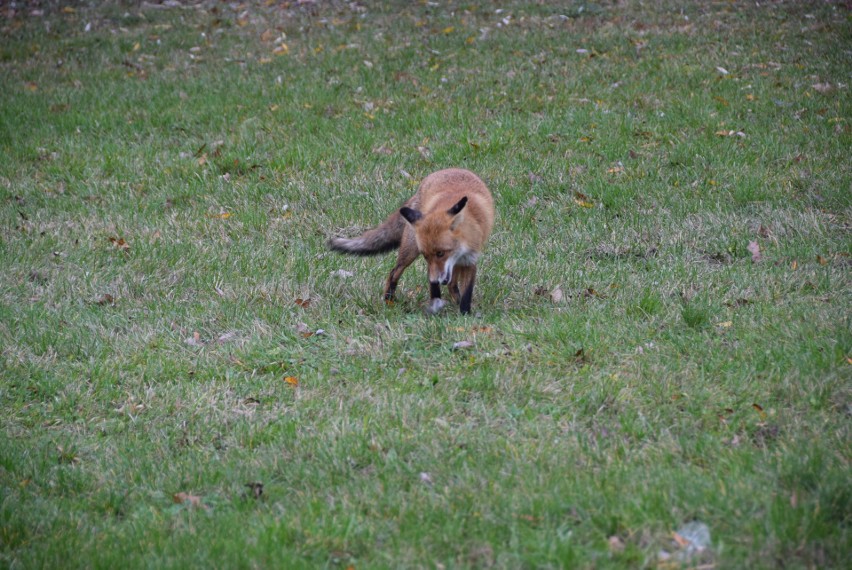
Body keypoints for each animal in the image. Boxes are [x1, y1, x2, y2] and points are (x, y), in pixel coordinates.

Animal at [330, 166, 496, 312]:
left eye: (441, 253)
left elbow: (467, 293)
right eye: (426, 256)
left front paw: (465, 313)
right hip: (410, 250)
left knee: (451, 284)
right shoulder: (431, 265)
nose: (435, 280)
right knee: (394, 272)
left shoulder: (470, 259)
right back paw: (389, 300)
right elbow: (435, 288)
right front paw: (436, 306)